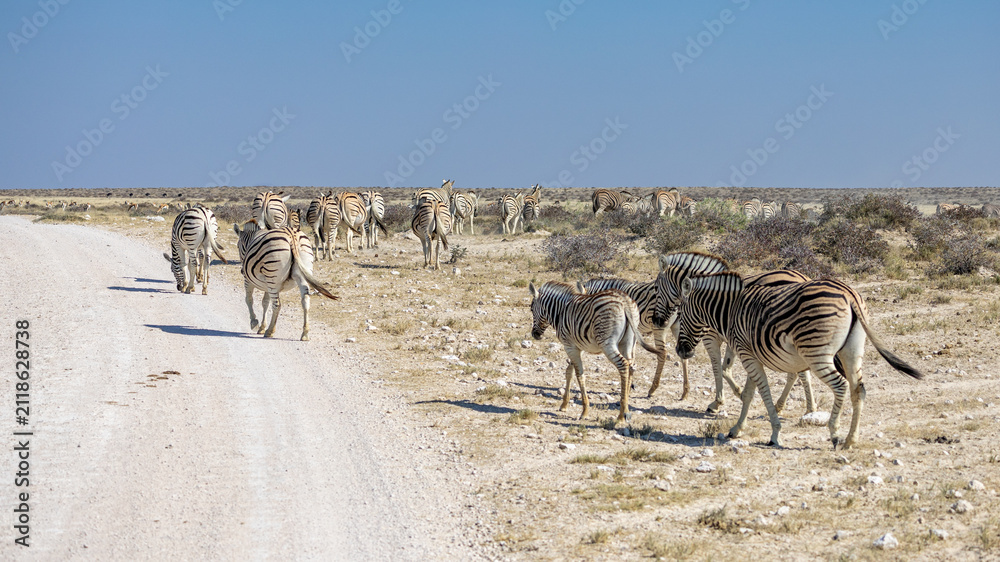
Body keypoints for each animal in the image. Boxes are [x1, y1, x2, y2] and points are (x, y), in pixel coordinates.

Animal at [528, 281, 658, 424]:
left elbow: (579, 375)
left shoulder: (569, 346)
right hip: (628, 341)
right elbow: (569, 372)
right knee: (630, 366)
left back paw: (621, 414)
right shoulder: (578, 346)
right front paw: (564, 404)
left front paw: (584, 411)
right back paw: (627, 408)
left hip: (607, 343)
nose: (535, 335)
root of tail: (625, 301)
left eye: (531, 309)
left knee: (623, 365)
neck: (560, 312)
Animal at [675, 272, 924, 448]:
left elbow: (763, 392)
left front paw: (775, 433)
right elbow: (748, 394)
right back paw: (850, 440)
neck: (730, 310)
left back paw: (835, 434)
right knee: (858, 389)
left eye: (680, 314)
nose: (680, 351)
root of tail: (850, 294)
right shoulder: (751, 354)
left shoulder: (747, 354)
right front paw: (737, 429)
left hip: (816, 353)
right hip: (852, 351)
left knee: (841, 386)